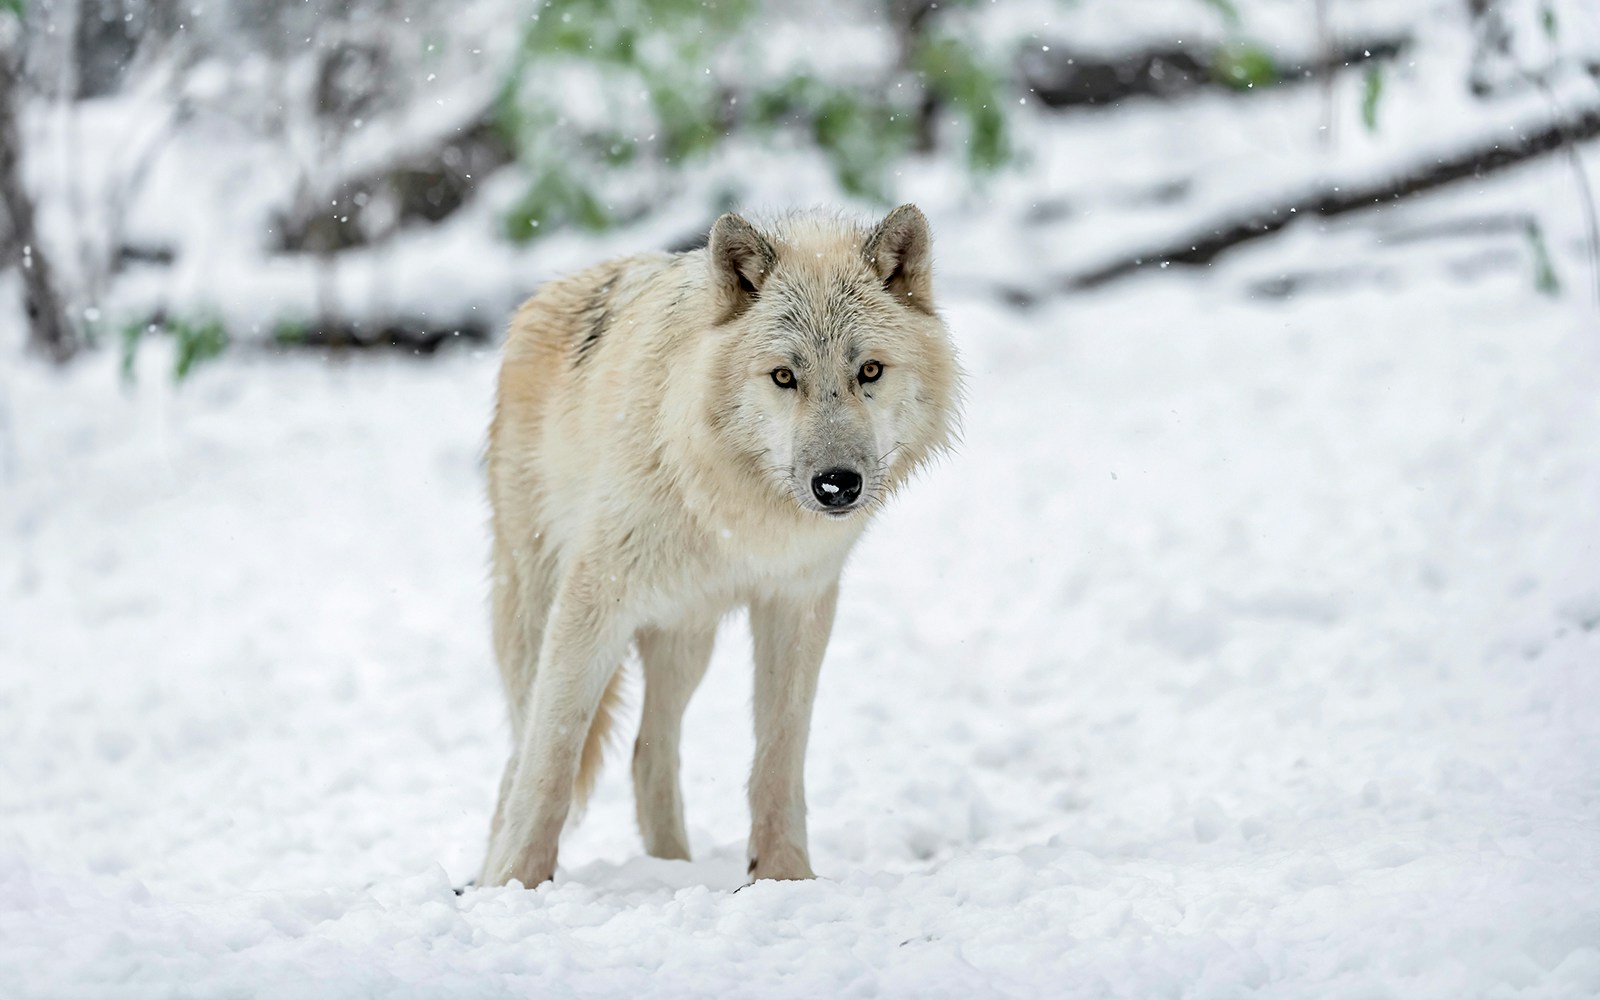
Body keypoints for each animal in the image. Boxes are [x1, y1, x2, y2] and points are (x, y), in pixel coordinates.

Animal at [478, 205, 962, 888]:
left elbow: (779, 757)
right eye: (784, 376)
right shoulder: (592, 601)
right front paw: (515, 885)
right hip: (535, 621)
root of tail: (545, 292)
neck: (738, 513)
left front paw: (783, 878)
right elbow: (551, 760)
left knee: (646, 753)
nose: (837, 484)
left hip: (686, 639)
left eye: (869, 371)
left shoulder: (798, 603)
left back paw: (672, 868)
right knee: (523, 755)